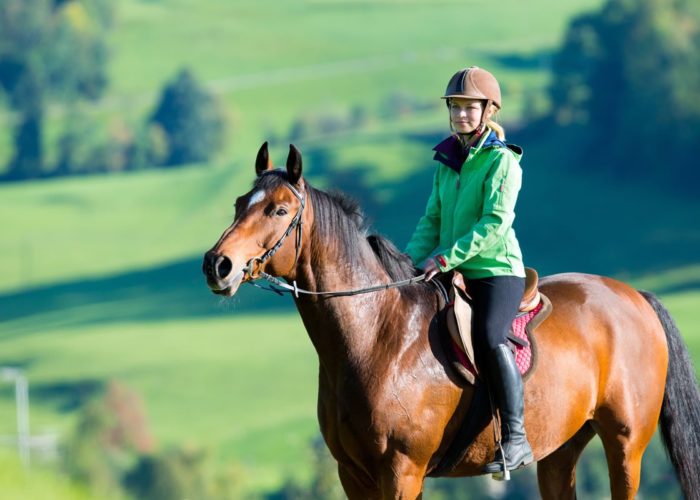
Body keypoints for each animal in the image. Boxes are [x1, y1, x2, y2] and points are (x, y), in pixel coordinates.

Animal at [202, 143, 700, 498]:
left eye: (279, 210)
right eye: (240, 203)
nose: (217, 265)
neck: (377, 336)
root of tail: (634, 296)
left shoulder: (401, 470)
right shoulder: (354, 475)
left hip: (625, 446)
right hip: (560, 451)